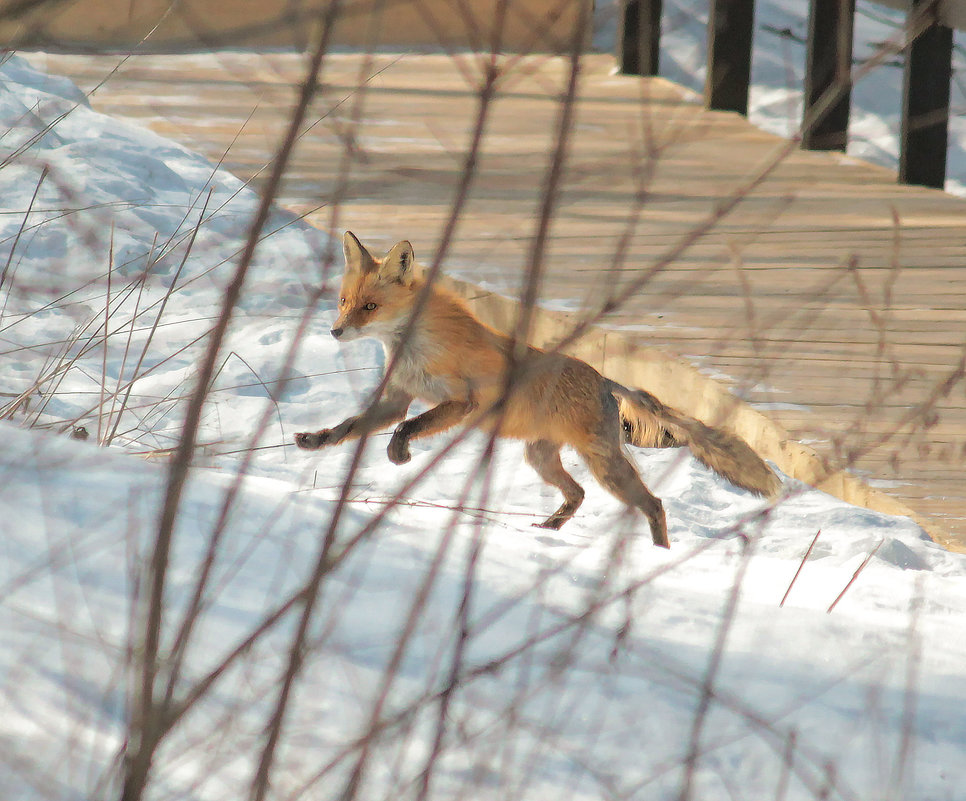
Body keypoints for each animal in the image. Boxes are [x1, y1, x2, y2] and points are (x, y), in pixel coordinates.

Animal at [298, 230, 784, 544]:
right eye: (344, 302)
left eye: (370, 307)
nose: (335, 331)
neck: (416, 346)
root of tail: (603, 379)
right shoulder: (397, 398)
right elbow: (348, 428)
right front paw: (315, 440)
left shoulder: (464, 402)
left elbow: (408, 427)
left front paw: (399, 454)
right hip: (541, 458)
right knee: (580, 493)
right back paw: (551, 529)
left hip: (605, 466)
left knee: (654, 504)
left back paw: (655, 557)